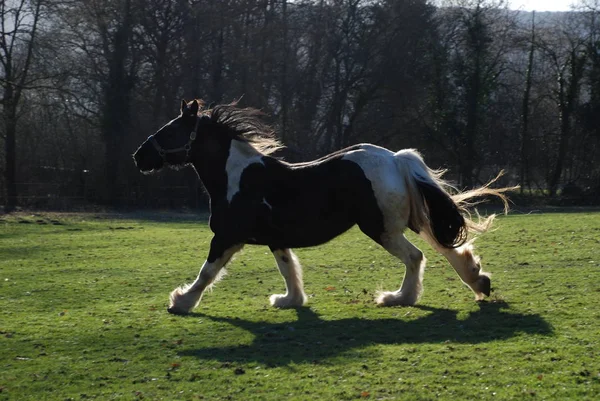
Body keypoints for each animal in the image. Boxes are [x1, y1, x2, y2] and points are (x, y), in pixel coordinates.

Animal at [134, 99, 512, 312]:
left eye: (169, 131)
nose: (139, 156)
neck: (236, 178)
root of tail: (396, 159)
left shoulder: (227, 238)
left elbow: (207, 273)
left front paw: (181, 302)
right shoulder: (275, 240)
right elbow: (288, 269)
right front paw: (289, 301)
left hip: (382, 229)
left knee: (416, 256)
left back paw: (398, 298)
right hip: (409, 220)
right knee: (445, 247)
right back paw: (478, 282)